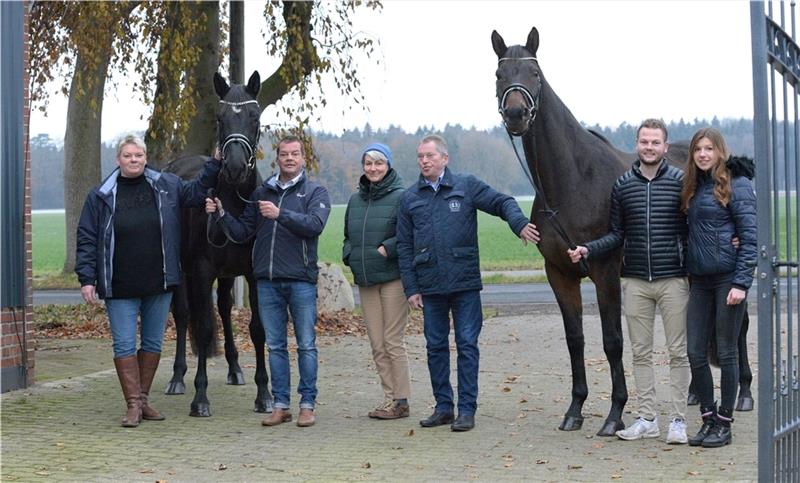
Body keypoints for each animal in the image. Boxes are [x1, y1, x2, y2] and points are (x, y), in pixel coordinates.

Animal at [161, 71, 270, 416]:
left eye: (254, 116)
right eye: (220, 118)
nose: (234, 167)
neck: (233, 202)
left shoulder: (251, 273)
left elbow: (258, 329)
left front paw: (264, 395)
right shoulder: (201, 270)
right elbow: (204, 326)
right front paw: (200, 398)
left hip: (227, 275)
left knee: (223, 307)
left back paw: (235, 369)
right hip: (183, 271)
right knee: (184, 315)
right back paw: (177, 377)